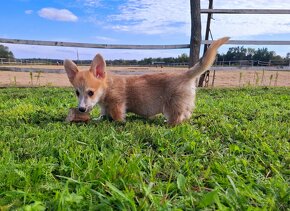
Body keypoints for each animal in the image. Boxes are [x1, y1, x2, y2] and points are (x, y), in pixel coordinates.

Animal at [64, 37, 230, 125]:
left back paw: (168, 124)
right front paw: (99, 118)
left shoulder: (117, 104)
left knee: (177, 117)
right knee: (187, 113)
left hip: (173, 105)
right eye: (77, 93)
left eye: (90, 92)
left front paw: (118, 123)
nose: (81, 110)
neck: (107, 86)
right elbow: (103, 113)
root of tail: (185, 74)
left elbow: (117, 116)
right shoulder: (104, 106)